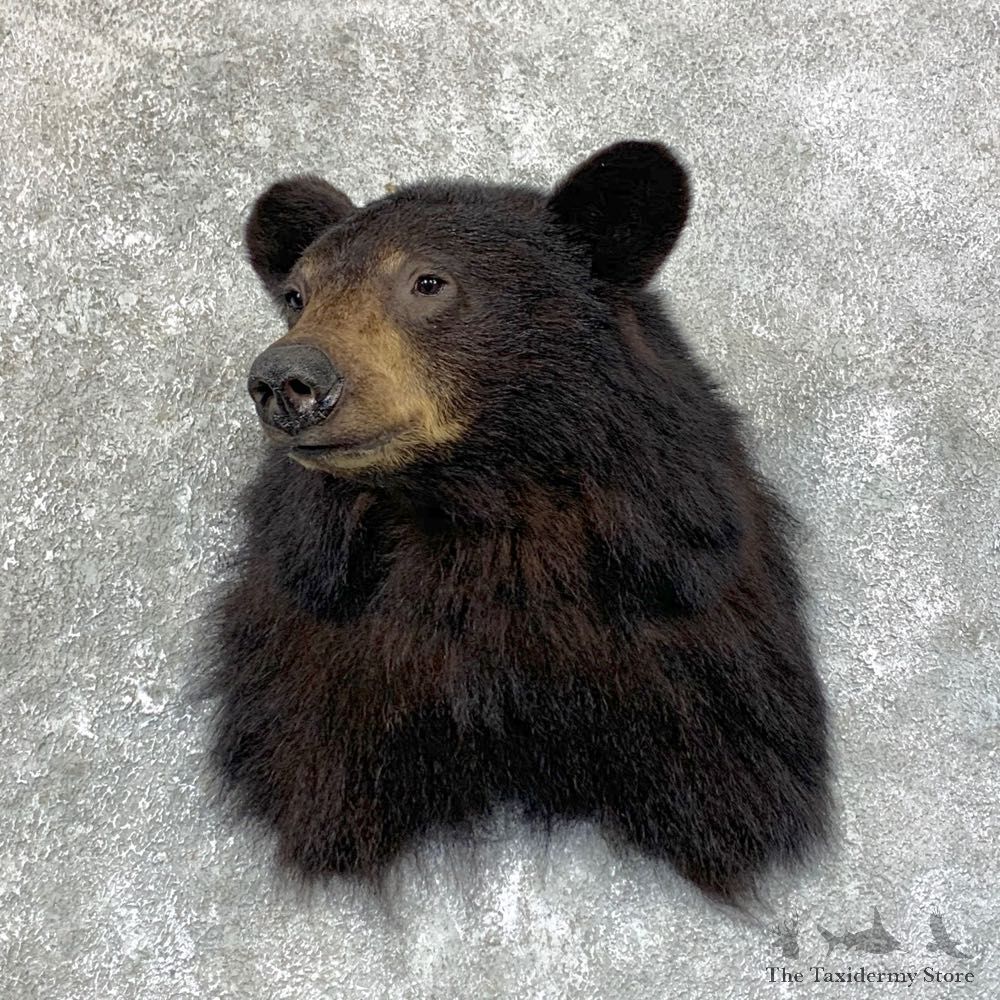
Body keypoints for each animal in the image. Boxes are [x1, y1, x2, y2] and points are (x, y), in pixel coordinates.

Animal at [202, 140, 831, 902]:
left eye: (429, 282)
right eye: (297, 296)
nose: (287, 380)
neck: (478, 506)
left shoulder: (693, 609)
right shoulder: (313, 636)